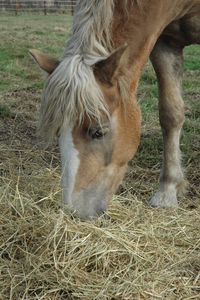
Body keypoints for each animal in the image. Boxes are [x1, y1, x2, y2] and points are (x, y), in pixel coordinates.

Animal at [29, 0, 200, 220]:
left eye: (99, 132)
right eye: (58, 131)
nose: (73, 212)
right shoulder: (165, 42)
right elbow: (171, 113)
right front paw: (167, 191)